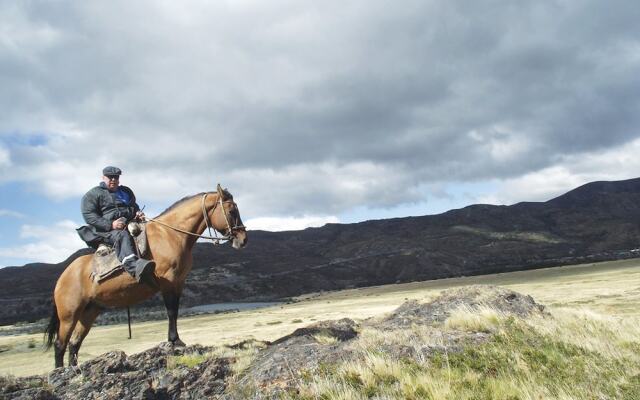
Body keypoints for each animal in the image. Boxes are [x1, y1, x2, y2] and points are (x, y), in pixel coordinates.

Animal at [44, 184, 248, 368]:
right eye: (231, 210)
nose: (243, 239)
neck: (171, 234)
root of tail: (62, 278)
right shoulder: (168, 282)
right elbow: (171, 311)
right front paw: (174, 341)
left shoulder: (178, 283)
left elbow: (175, 311)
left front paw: (176, 340)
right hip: (69, 315)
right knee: (60, 344)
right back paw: (60, 371)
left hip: (89, 311)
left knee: (74, 344)